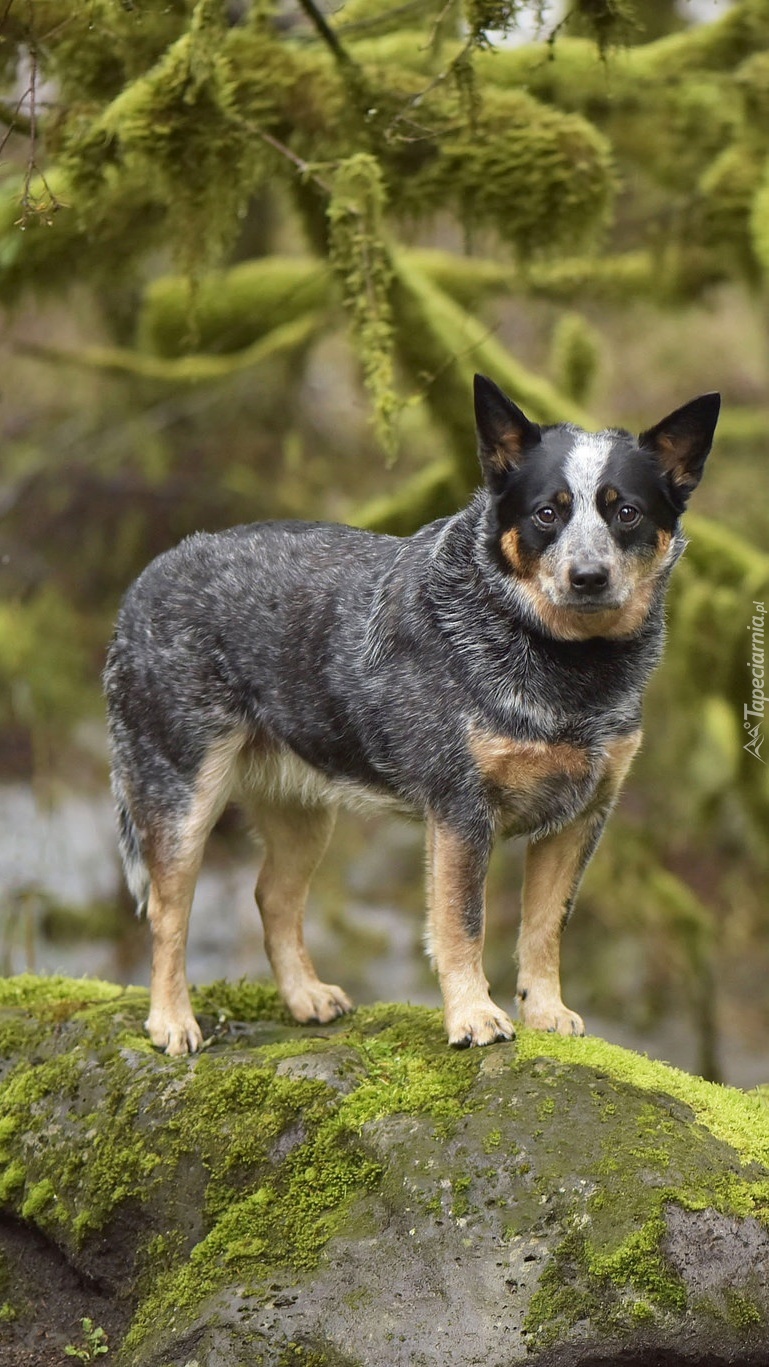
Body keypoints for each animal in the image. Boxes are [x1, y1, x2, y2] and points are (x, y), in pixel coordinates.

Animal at [103, 374, 721, 1055]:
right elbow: (463, 924)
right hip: (182, 795)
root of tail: (146, 581)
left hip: (303, 810)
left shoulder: (582, 816)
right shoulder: (460, 811)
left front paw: (547, 1012)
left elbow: (544, 927)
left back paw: (305, 997)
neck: (568, 670)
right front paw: (474, 1017)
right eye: (547, 513)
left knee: (273, 897)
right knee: (168, 912)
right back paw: (171, 1022)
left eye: (626, 511)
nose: (588, 576)